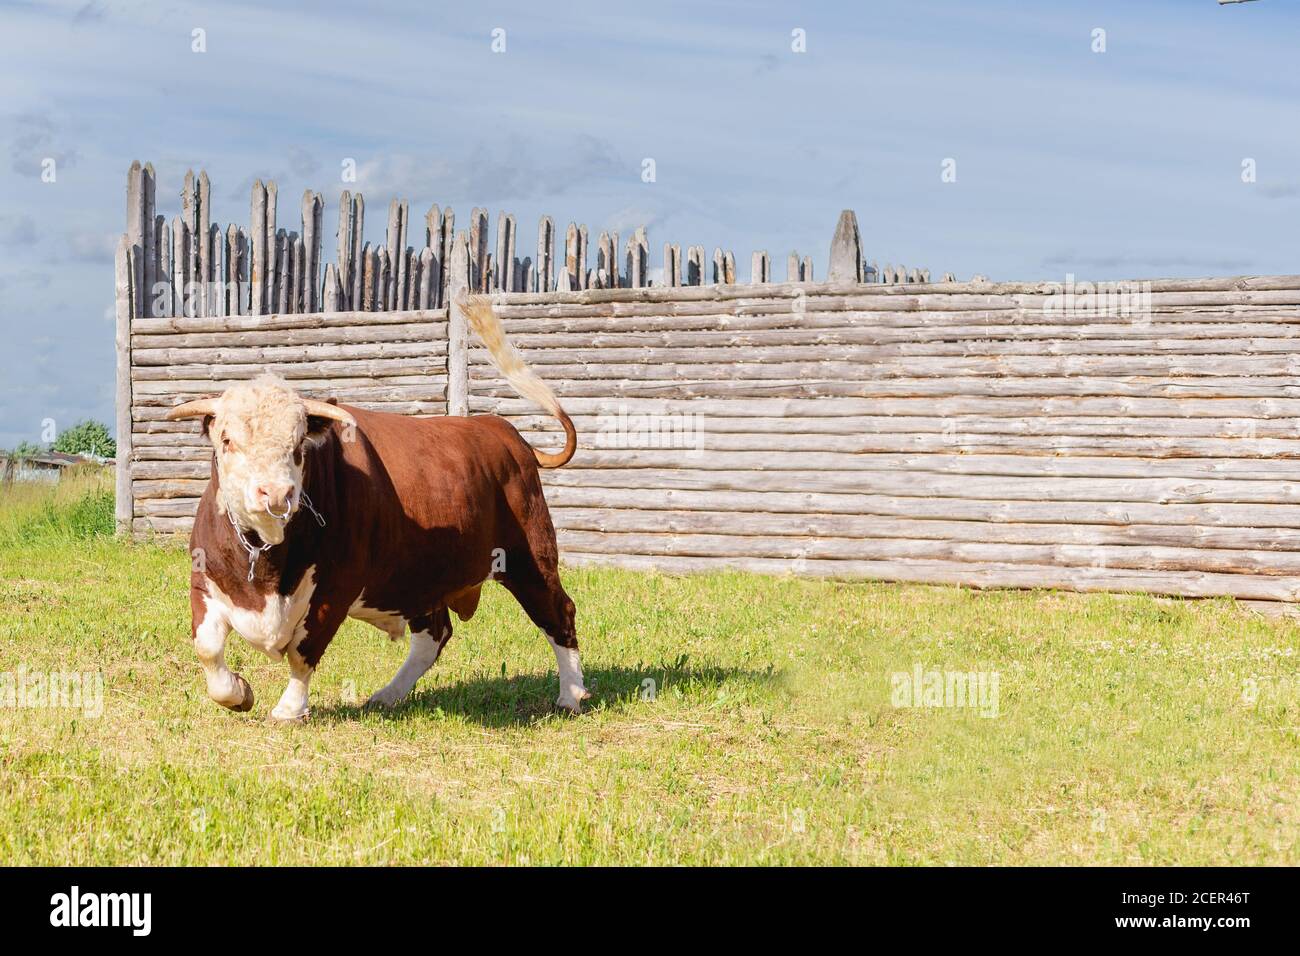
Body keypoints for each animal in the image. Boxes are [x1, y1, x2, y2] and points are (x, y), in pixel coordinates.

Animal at [165, 295, 592, 723]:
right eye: (227, 440)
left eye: (299, 444)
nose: (275, 493)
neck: (265, 566)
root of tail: (503, 433)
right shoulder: (204, 578)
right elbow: (207, 647)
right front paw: (238, 693)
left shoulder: (334, 590)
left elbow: (304, 652)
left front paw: (289, 709)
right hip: (421, 578)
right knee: (435, 634)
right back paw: (389, 695)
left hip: (529, 557)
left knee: (560, 614)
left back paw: (571, 695)